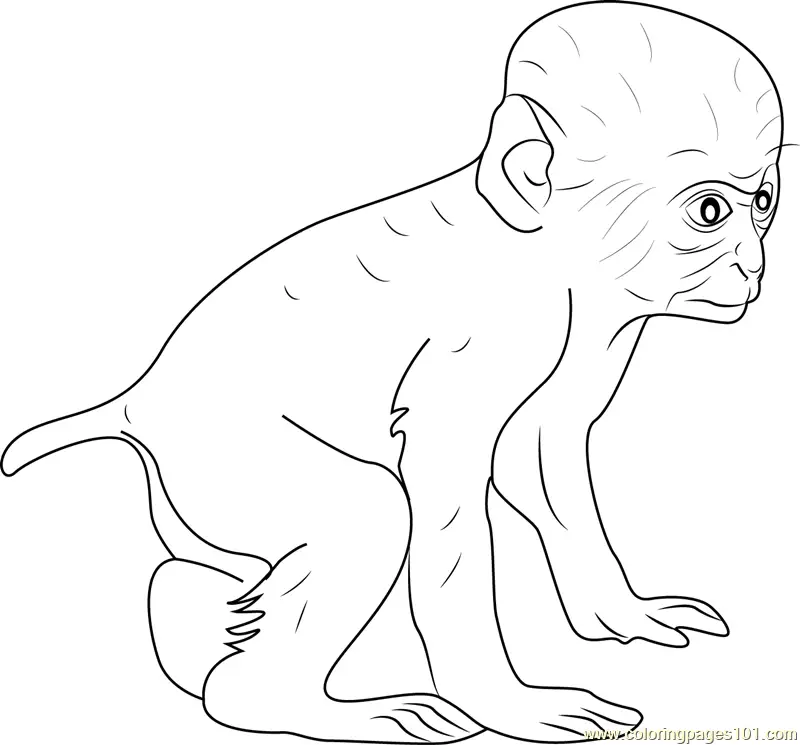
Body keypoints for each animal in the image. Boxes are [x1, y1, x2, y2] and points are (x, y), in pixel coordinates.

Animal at [0, 1, 786, 742]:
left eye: (764, 203)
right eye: (710, 210)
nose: (754, 268)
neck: (540, 244)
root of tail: (136, 405)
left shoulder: (595, 330)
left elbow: (538, 455)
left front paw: (620, 612)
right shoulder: (495, 328)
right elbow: (447, 487)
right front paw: (506, 702)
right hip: (223, 460)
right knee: (372, 510)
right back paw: (284, 702)